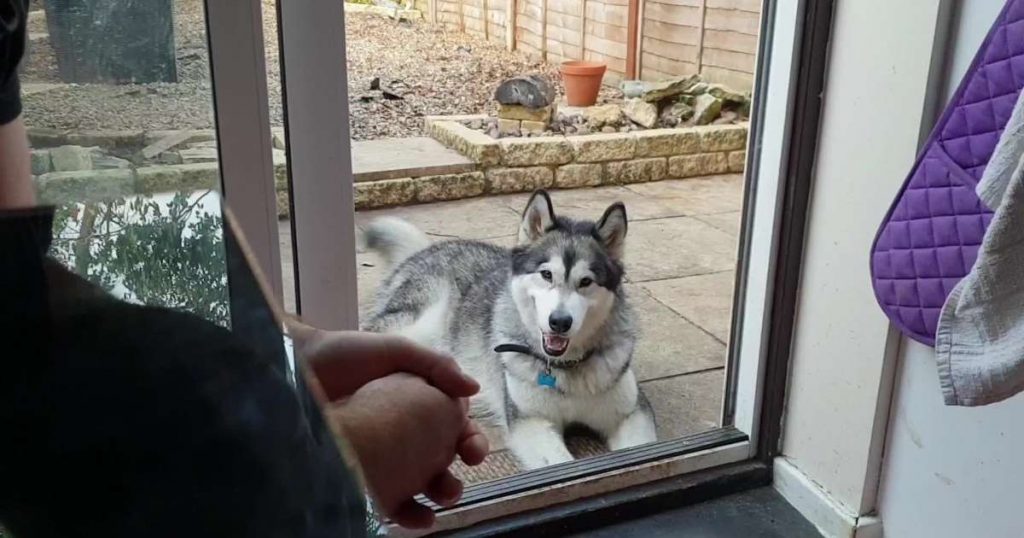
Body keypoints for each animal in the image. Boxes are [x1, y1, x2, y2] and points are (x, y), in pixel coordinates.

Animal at [364, 190, 659, 467]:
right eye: (546, 274)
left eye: (585, 281)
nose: (559, 322)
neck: (564, 370)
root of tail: (427, 249)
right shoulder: (531, 422)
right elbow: (560, 461)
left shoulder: (632, 414)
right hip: (421, 325)